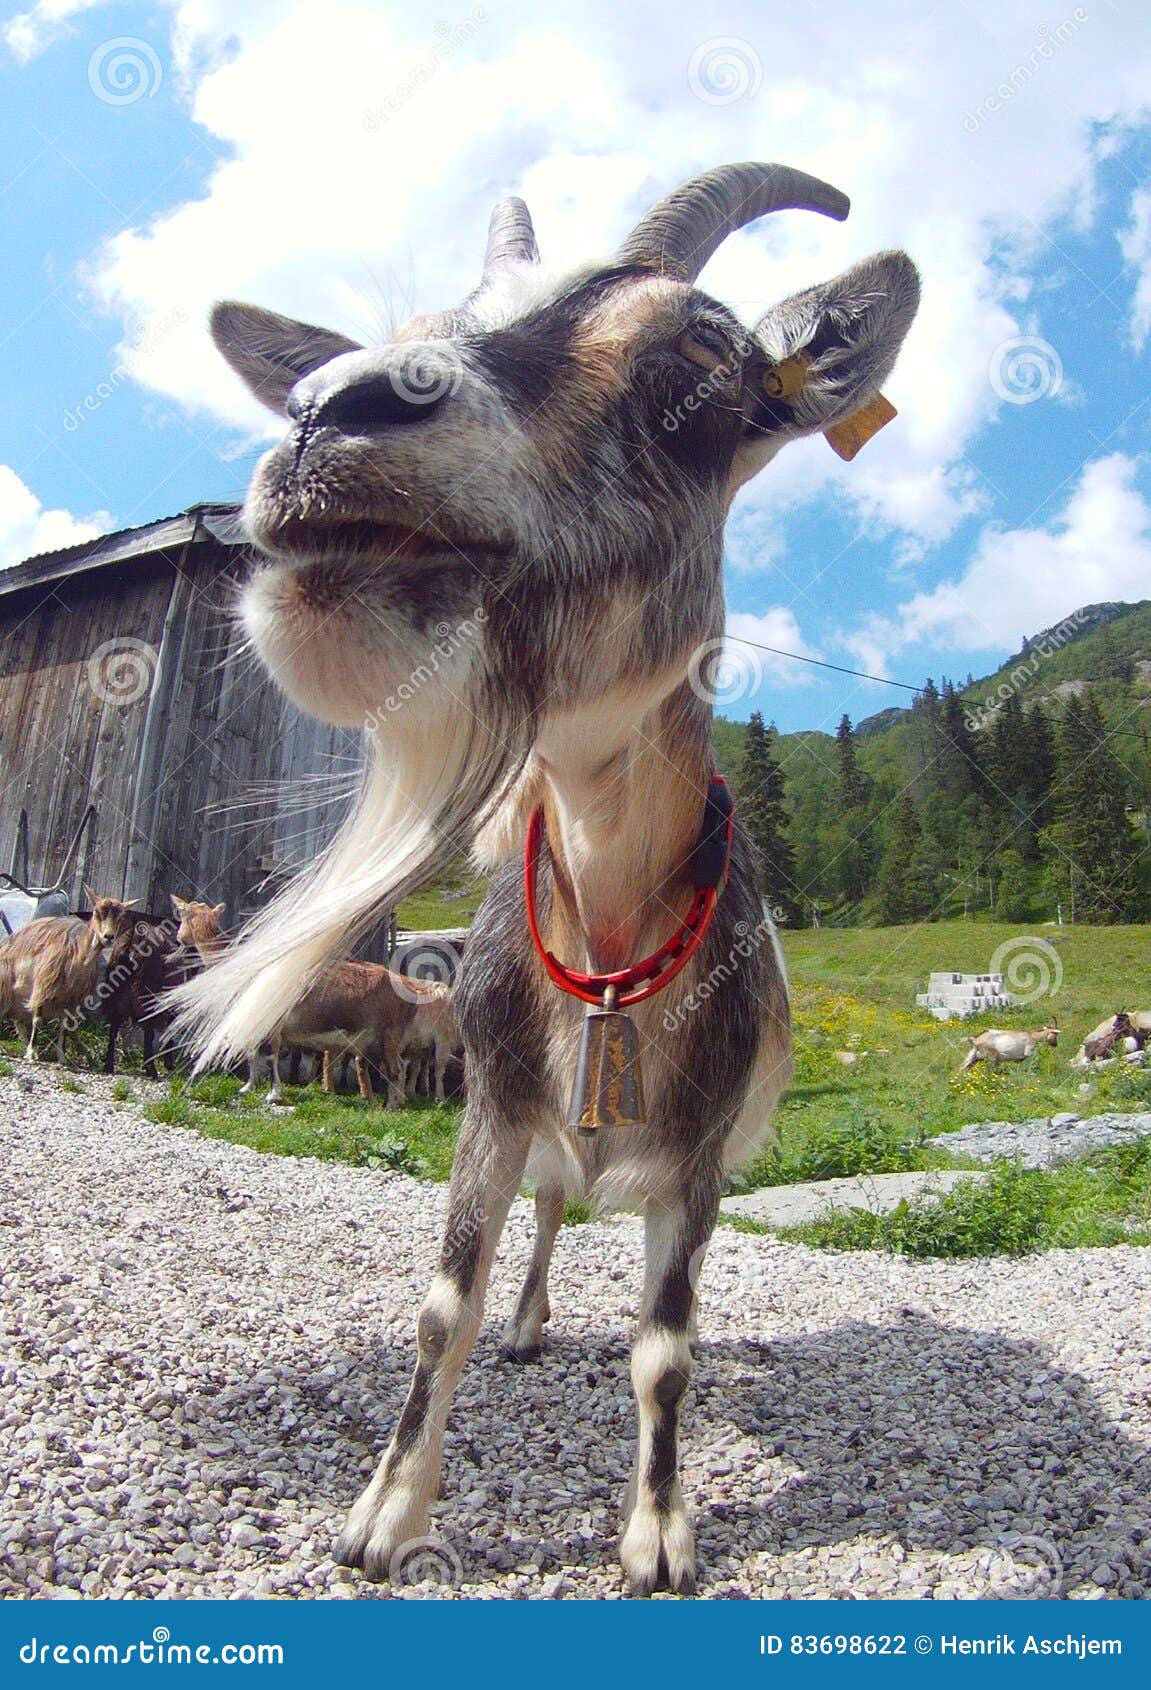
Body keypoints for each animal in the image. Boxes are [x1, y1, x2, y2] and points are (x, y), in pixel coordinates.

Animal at [0, 892, 137, 1061]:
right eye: (97, 913)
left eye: (120, 917)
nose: (109, 937)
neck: (79, 952)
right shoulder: (43, 986)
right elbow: (37, 1020)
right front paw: (32, 1053)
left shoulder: (72, 998)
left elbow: (65, 1026)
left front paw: (62, 1057)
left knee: (18, 1021)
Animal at [177, 161, 912, 1595]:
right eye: (430, 321)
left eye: (700, 356)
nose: (327, 409)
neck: (614, 935)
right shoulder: (494, 1096)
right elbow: (442, 1299)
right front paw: (384, 1514)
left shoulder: (697, 1156)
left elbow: (664, 1345)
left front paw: (658, 1534)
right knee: (555, 1206)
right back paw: (526, 1323)